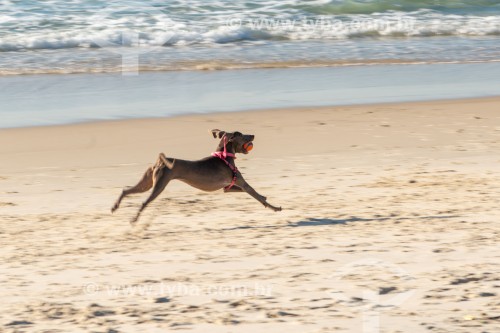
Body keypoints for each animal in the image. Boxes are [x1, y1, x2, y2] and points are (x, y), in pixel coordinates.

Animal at [111, 129, 282, 223]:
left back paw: (115, 207)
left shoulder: (228, 187)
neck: (224, 156)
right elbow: (257, 196)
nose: (253, 135)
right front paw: (275, 207)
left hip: (146, 183)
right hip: (158, 186)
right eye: (241, 134)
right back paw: (133, 220)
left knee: (126, 190)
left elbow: (252, 194)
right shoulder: (242, 183)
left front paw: (266, 197)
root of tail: (159, 162)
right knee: (143, 202)